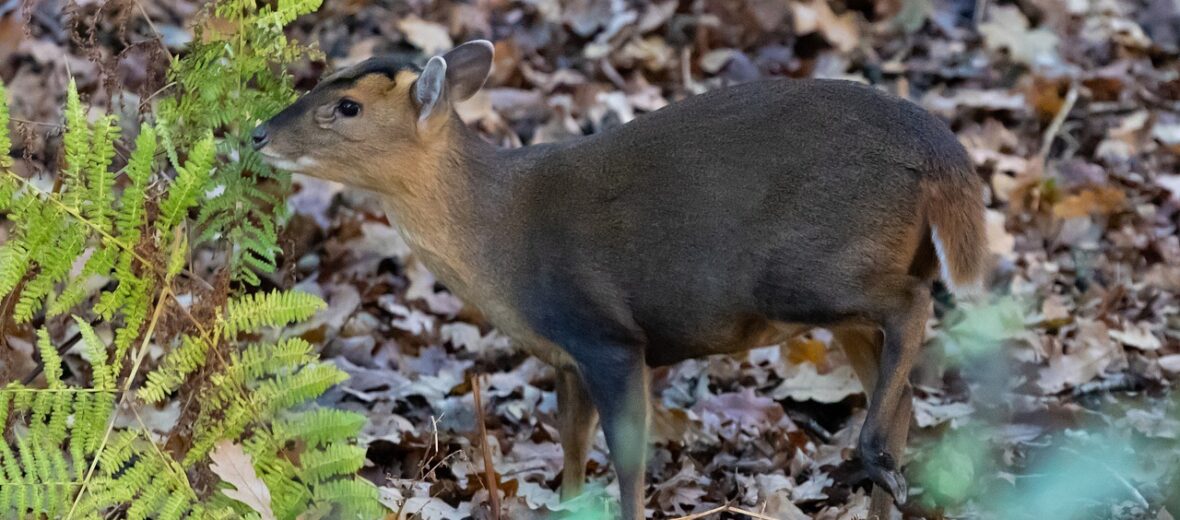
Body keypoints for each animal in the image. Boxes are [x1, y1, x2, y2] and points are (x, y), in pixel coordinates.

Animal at [256, 39, 986, 514]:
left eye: (347, 106)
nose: (259, 133)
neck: (499, 239)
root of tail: (943, 153)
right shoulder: (565, 355)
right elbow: (572, 453)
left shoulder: (607, 336)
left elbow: (629, 465)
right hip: (848, 285)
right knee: (902, 388)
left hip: (811, 267)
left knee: (912, 305)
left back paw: (871, 457)